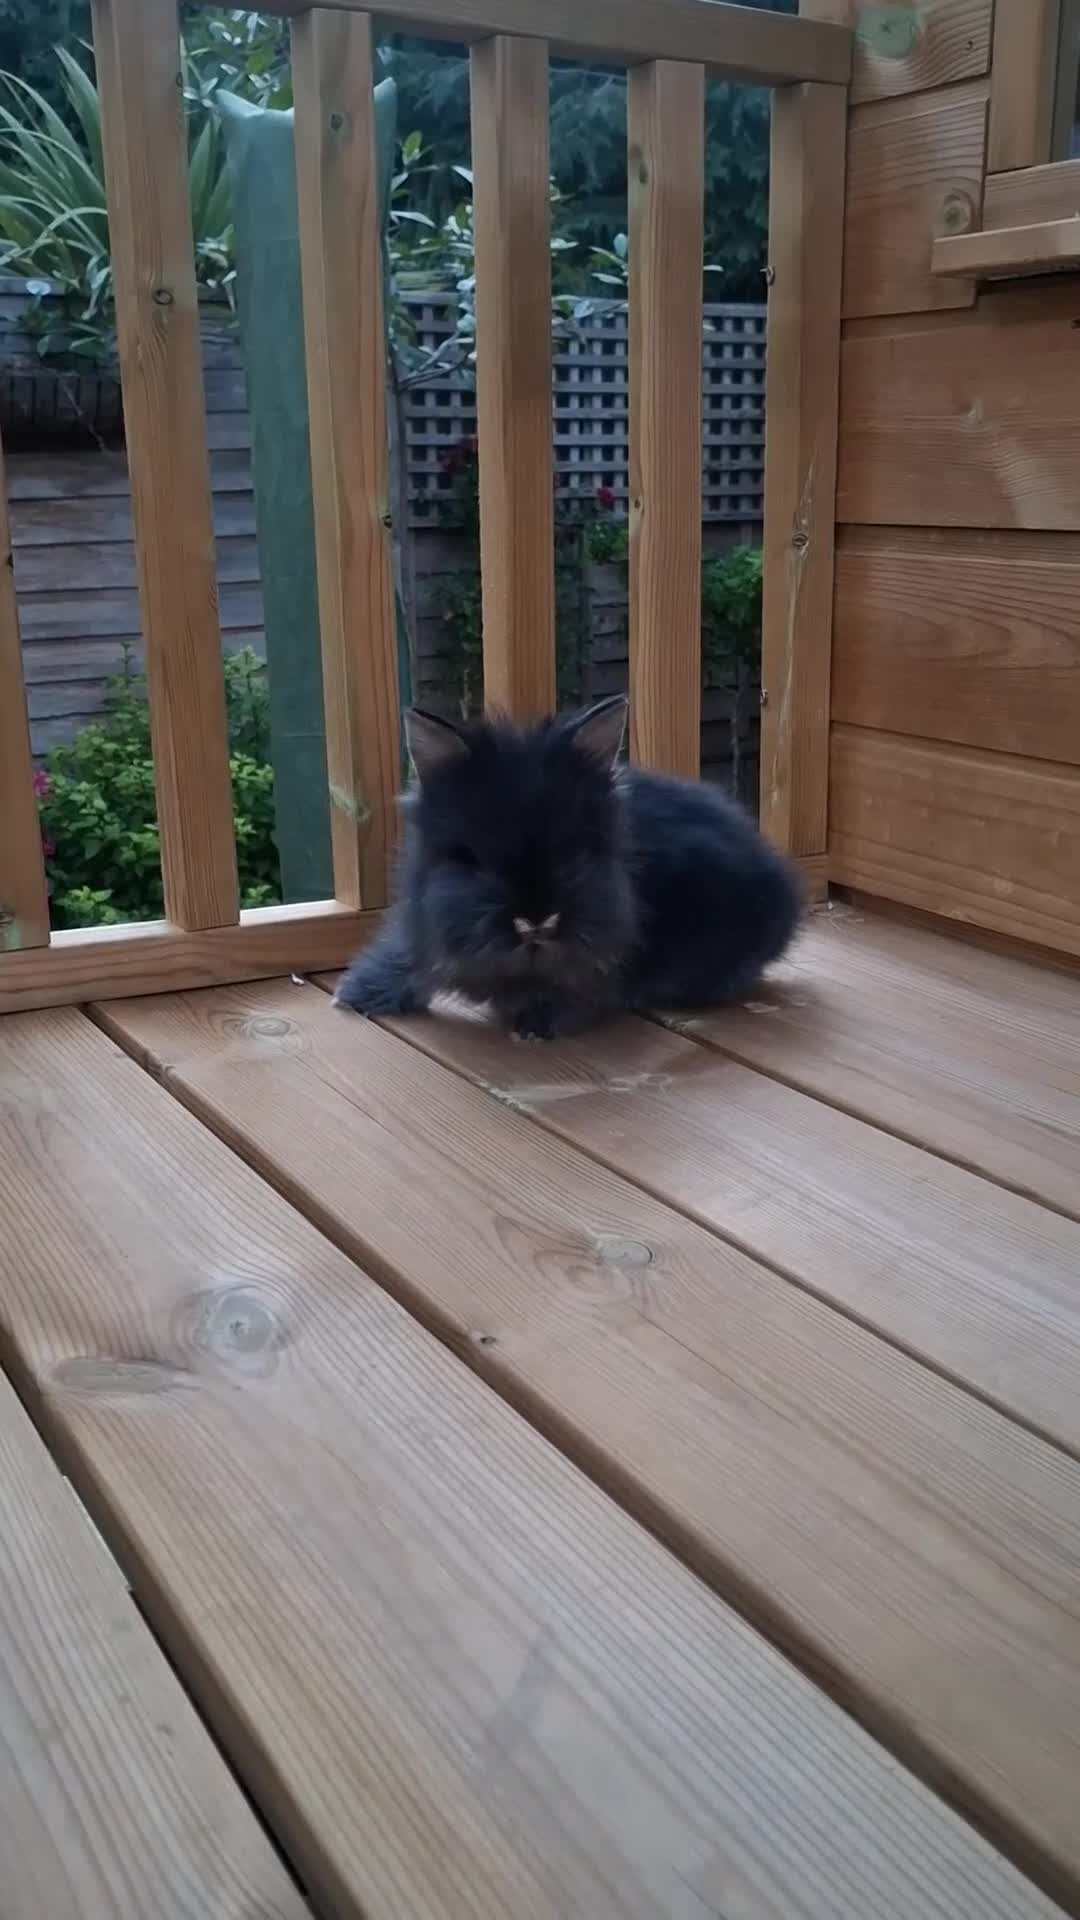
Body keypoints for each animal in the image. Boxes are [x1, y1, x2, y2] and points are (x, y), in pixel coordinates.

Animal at [335, 694, 802, 1041]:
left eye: (573, 854)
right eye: (474, 859)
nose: (535, 921)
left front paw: (537, 1025)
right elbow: (410, 959)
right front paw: (358, 994)